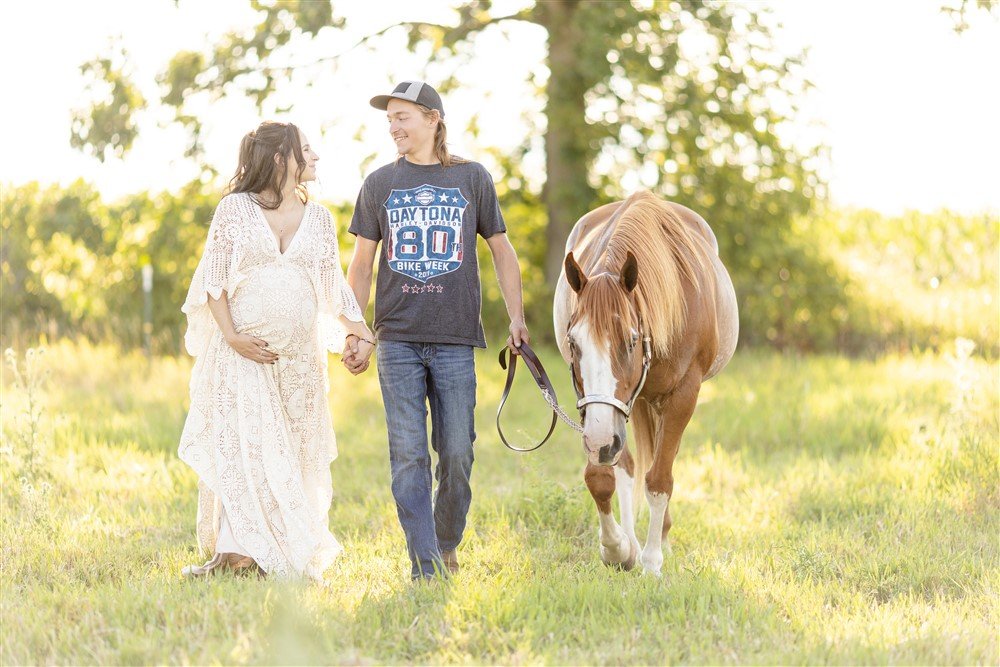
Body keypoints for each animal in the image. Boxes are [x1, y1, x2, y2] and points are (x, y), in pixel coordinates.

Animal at [552, 189, 740, 576]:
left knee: (659, 464)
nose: (599, 441)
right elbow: (602, 477)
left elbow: (659, 479)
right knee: (628, 467)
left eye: (631, 341)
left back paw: (659, 540)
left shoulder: (684, 395)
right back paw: (633, 542)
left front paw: (653, 564)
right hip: (629, 406)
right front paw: (618, 548)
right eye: (574, 343)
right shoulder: (597, 411)